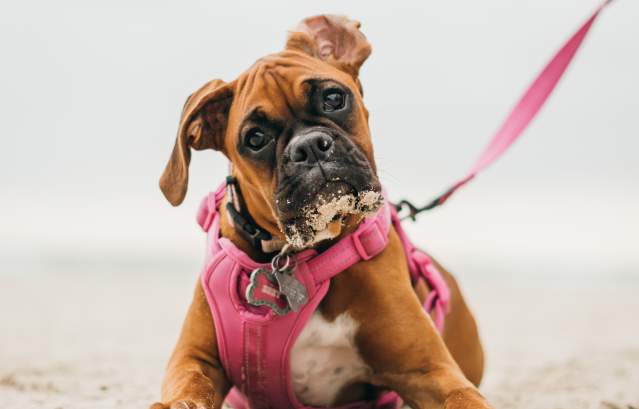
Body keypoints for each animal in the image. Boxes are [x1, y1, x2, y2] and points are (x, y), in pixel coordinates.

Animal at [150, 15, 490, 408]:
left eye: (333, 98)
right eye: (255, 139)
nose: (310, 146)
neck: (297, 256)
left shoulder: (428, 369)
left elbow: (463, 397)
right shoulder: (194, 359)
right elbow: (189, 389)